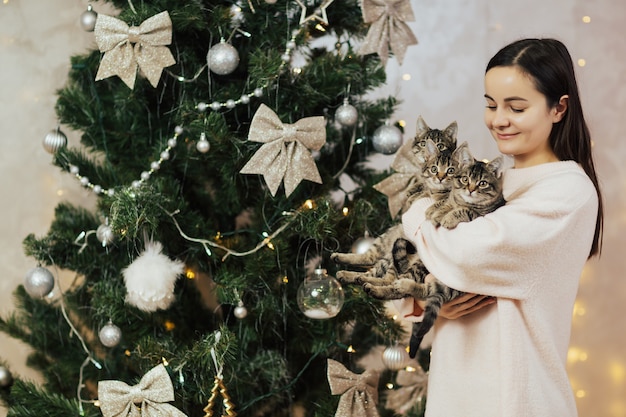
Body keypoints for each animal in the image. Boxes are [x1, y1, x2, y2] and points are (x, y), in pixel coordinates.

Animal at [366, 154, 502, 356]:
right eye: (465, 179)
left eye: (482, 183)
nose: (471, 189)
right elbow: (445, 204)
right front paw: (438, 211)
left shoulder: (479, 217)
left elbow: (465, 211)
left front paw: (446, 217)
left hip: (448, 282)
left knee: (417, 290)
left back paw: (389, 286)